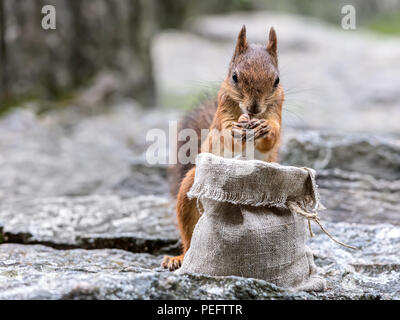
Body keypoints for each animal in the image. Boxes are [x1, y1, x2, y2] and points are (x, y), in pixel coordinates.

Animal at [162, 25, 284, 272]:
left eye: (276, 80)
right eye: (234, 77)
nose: (254, 108)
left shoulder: (278, 109)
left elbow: (273, 135)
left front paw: (266, 128)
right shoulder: (222, 110)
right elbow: (226, 133)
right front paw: (237, 128)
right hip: (189, 190)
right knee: (189, 239)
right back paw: (179, 258)